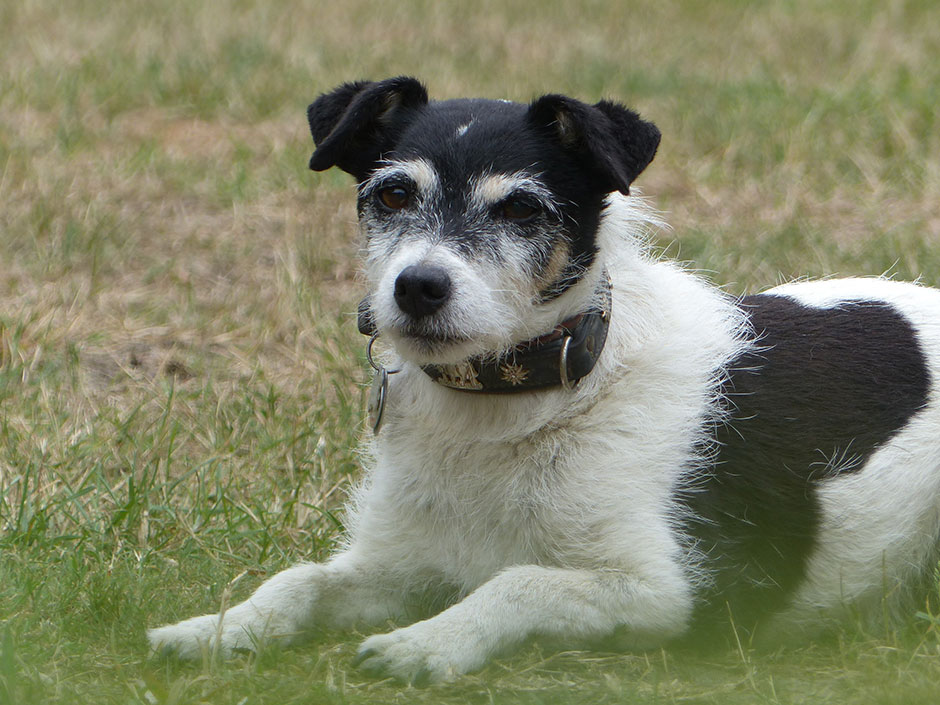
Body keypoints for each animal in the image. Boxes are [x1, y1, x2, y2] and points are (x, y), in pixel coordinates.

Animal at [147, 77, 940, 680]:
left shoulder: (671, 590)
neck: (523, 396)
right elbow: (301, 578)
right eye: (394, 196)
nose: (418, 286)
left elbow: (518, 579)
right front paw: (219, 626)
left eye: (523, 207)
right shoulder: (400, 561)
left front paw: (430, 640)